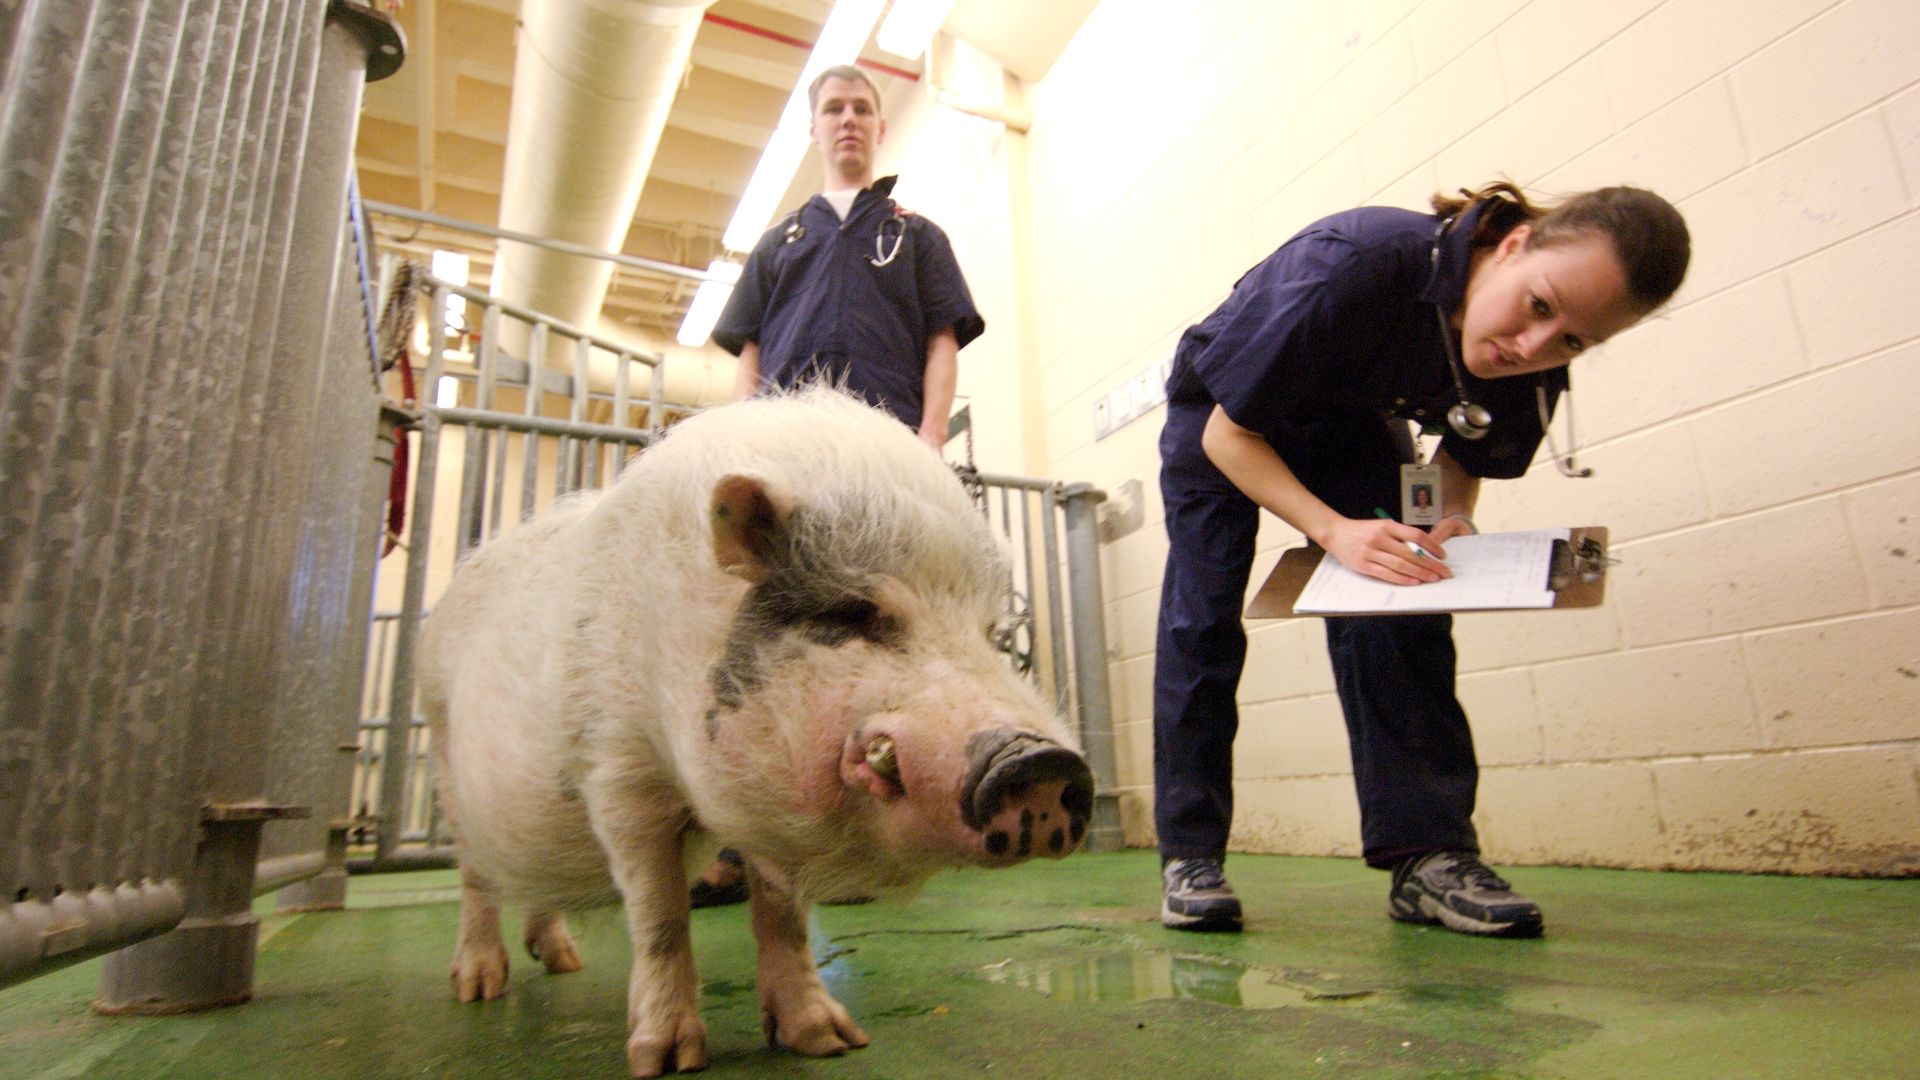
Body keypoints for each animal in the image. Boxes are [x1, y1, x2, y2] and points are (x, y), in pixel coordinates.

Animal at [417, 387, 1095, 1077]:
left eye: (992, 633)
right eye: (854, 613)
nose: (1037, 760)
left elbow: (783, 916)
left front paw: (832, 1041)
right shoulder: (620, 771)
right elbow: (660, 914)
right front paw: (666, 1061)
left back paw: (564, 963)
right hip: (444, 758)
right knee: (477, 878)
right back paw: (478, 987)